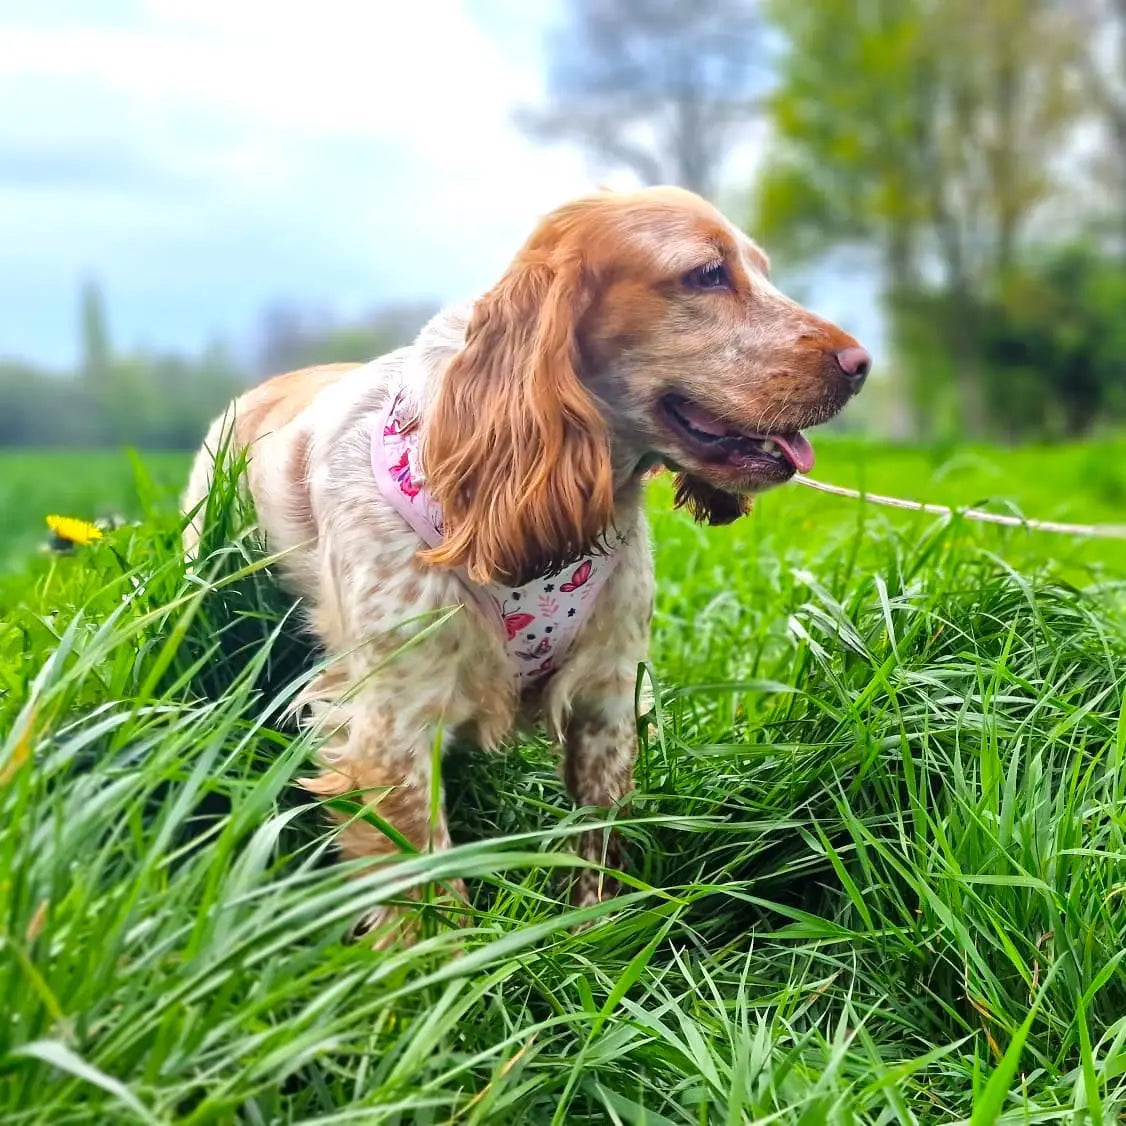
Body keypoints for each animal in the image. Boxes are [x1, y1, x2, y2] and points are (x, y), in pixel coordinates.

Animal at [184, 189, 869, 936]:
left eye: (763, 271)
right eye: (708, 274)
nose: (862, 363)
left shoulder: (608, 693)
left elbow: (595, 842)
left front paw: (592, 939)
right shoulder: (390, 724)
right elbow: (430, 892)